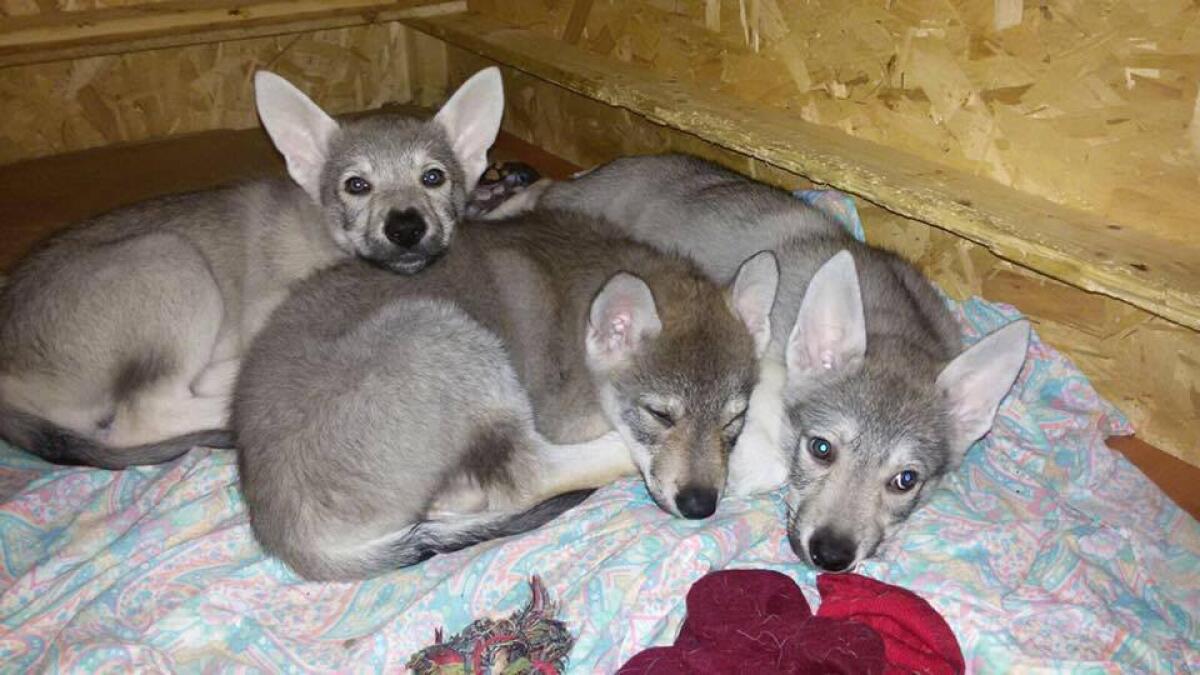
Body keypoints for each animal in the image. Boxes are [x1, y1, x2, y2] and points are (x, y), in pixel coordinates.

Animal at [233, 208, 778, 580]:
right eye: (660, 415)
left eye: (734, 419)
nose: (701, 505)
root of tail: (280, 530)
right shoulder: (564, 415)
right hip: (442, 332)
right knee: (528, 476)